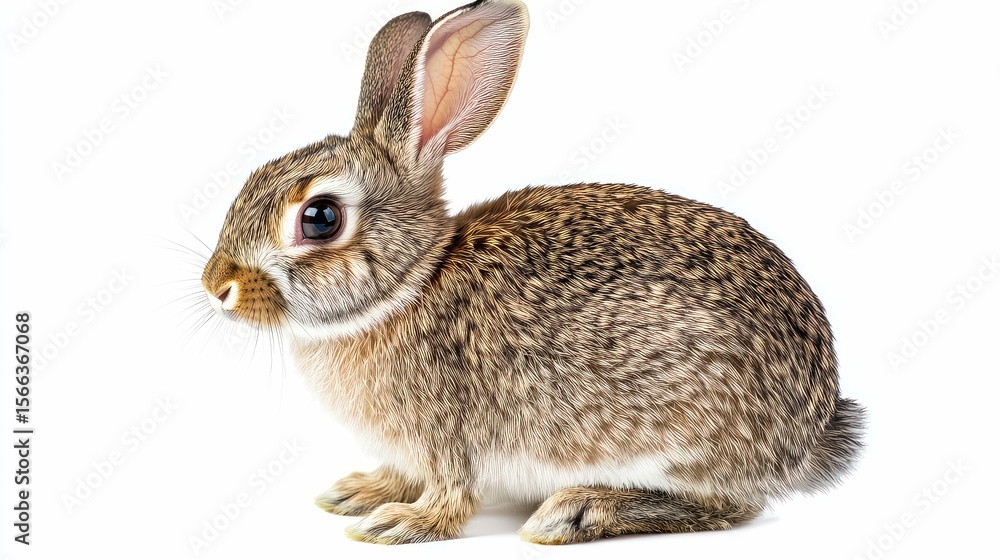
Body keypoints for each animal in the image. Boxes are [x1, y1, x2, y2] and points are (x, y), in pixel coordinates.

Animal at [200, 0, 865, 545]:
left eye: (319, 218)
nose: (217, 287)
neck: (410, 283)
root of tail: (808, 435)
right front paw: (361, 491)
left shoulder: (448, 436)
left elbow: (451, 497)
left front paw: (399, 523)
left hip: (686, 435)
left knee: (730, 506)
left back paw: (576, 512)